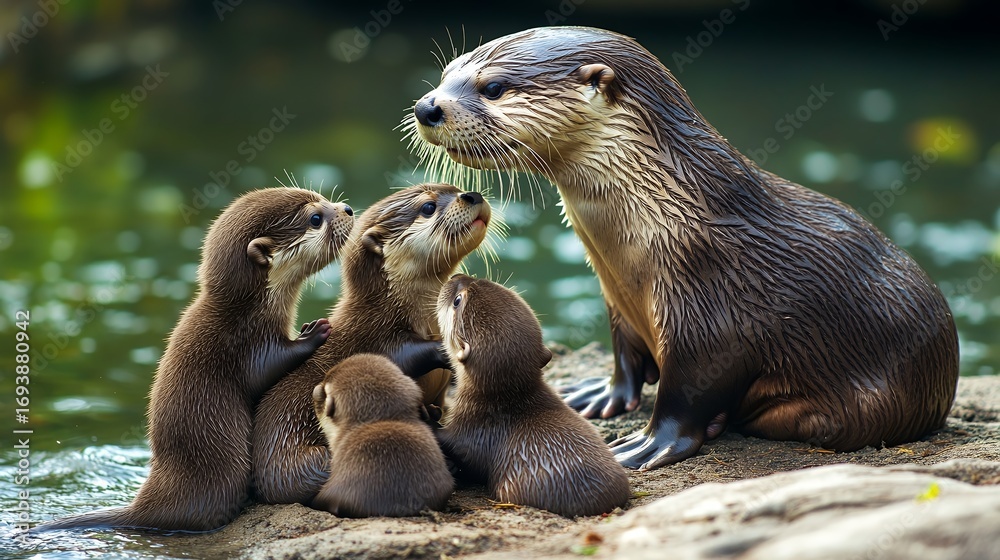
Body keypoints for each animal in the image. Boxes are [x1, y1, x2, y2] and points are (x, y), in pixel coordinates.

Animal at [35, 188, 354, 532]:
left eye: (323, 198)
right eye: (315, 218)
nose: (348, 209)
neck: (250, 308)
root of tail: (146, 505)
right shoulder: (248, 342)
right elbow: (267, 367)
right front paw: (314, 332)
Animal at [406, 26, 959, 470]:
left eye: (494, 88)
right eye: (447, 72)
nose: (426, 105)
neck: (668, 214)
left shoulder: (708, 311)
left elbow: (685, 394)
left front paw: (646, 445)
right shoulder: (618, 297)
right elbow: (624, 354)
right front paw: (600, 395)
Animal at [436, 275, 630, 517]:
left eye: (457, 300)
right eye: (486, 280)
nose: (456, 277)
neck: (500, 403)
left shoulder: (474, 432)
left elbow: (457, 448)